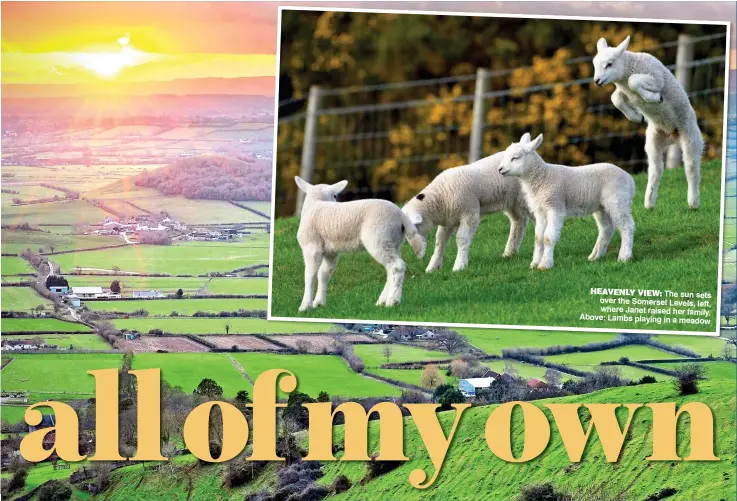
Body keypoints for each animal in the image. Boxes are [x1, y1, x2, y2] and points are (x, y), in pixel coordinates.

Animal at [294, 175, 426, 308]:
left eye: (335, 195)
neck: (316, 203)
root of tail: (401, 216)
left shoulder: (311, 247)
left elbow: (310, 275)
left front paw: (305, 305)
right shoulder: (331, 252)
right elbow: (324, 274)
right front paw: (319, 302)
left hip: (379, 238)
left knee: (397, 266)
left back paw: (392, 301)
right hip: (393, 242)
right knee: (391, 269)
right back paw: (382, 301)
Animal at [400, 153, 532, 274]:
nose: (418, 255)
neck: (440, 197)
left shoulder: (469, 214)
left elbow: (462, 239)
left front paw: (459, 265)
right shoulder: (448, 221)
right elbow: (439, 241)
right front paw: (432, 267)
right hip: (512, 202)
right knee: (519, 221)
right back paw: (510, 252)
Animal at [498, 133, 636, 270]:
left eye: (515, 158)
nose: (500, 169)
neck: (542, 178)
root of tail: (629, 179)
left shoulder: (555, 206)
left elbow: (548, 237)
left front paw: (545, 265)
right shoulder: (540, 210)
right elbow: (538, 238)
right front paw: (534, 263)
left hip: (618, 200)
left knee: (627, 226)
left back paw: (624, 257)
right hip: (601, 207)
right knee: (606, 229)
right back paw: (595, 256)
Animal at [592, 35, 700, 210]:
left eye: (609, 64)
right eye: (595, 64)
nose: (597, 81)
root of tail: (672, 135)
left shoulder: (656, 78)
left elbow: (633, 81)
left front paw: (655, 98)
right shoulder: (624, 92)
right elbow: (615, 98)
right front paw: (636, 117)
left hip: (690, 135)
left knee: (691, 167)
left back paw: (693, 202)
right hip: (653, 140)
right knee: (656, 169)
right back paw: (649, 202)